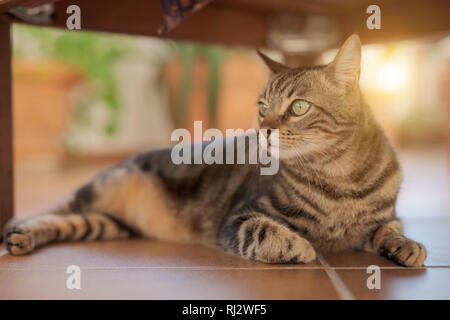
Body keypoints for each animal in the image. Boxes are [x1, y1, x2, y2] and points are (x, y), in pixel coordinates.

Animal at [3, 33, 426, 266]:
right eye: (262, 107)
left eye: (299, 107)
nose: (264, 130)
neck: (339, 176)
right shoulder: (240, 216)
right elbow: (266, 232)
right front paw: (300, 246)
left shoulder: (384, 218)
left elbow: (391, 229)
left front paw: (407, 247)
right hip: (102, 188)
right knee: (52, 210)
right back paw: (17, 231)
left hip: (107, 224)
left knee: (69, 221)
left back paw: (24, 238)